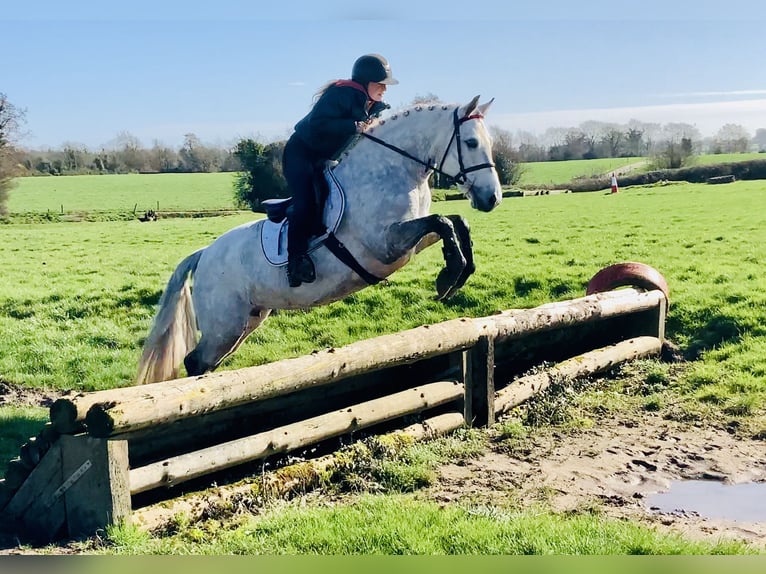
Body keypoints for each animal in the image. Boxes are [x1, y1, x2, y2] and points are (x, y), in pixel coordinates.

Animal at [136, 95, 503, 385]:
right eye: (471, 143)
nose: (492, 198)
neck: (393, 169)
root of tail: (204, 254)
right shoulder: (386, 244)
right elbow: (443, 221)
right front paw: (448, 277)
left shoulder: (411, 241)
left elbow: (455, 222)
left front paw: (457, 273)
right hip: (225, 323)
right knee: (195, 362)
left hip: (247, 320)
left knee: (205, 363)